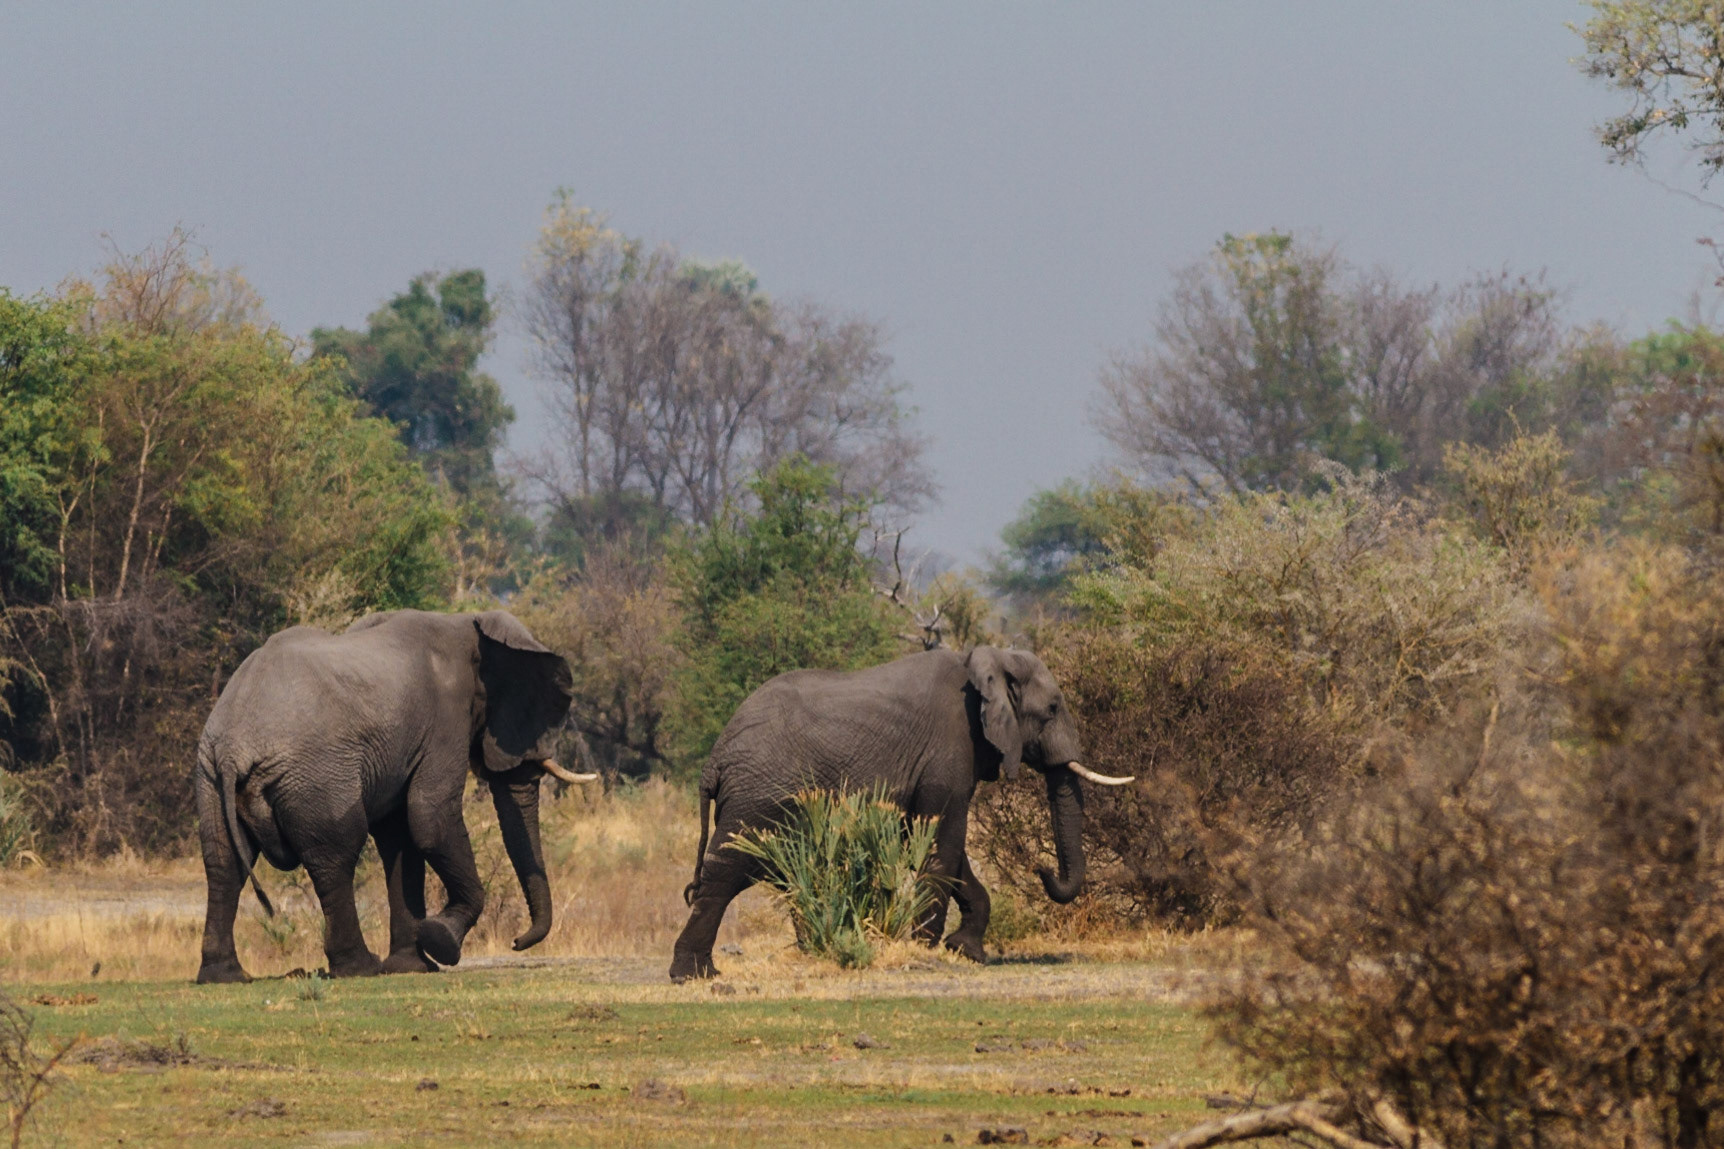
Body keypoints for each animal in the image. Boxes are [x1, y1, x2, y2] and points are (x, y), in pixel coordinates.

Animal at [195, 609, 595, 984]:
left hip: (210, 778)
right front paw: (440, 942)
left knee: (224, 863)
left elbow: (400, 837)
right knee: (335, 856)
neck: (468, 624)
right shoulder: (445, 720)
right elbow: (431, 819)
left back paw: (224, 975)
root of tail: (234, 745)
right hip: (316, 777)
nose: (516, 942)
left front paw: (412, 967)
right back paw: (359, 967)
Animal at [668, 645, 1133, 982]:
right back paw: (695, 975)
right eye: (1053, 709)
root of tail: (716, 760)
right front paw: (924, 948)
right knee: (725, 873)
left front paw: (966, 950)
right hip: (760, 797)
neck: (989, 660)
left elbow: (942, 847)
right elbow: (944, 841)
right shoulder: (951, 748)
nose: (1041, 869)